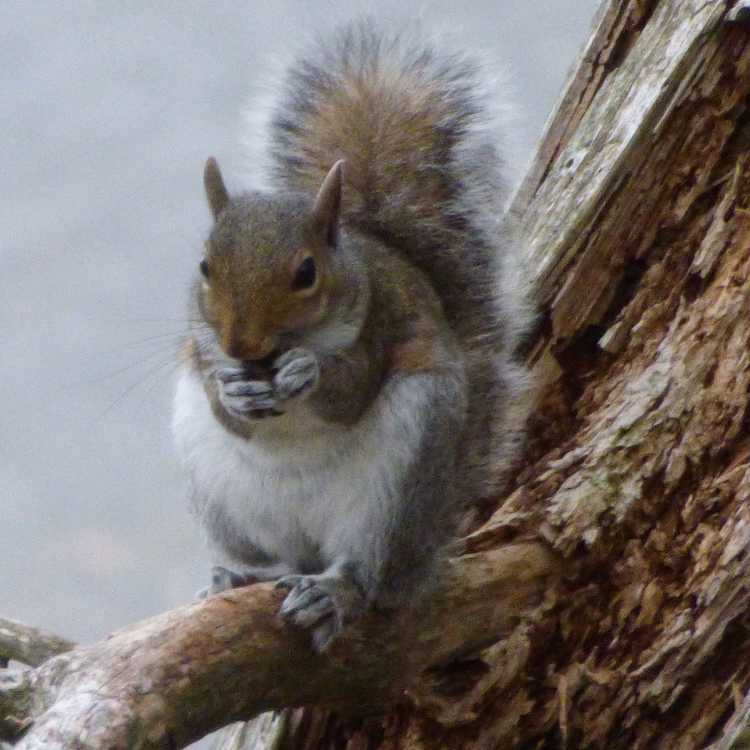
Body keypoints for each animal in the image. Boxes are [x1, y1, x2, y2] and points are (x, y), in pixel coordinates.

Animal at [171, 17, 536, 652]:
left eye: (306, 273)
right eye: (205, 266)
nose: (242, 347)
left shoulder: (379, 330)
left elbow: (350, 391)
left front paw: (308, 373)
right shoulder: (203, 347)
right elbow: (227, 412)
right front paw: (232, 390)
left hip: (401, 482)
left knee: (367, 573)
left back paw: (334, 590)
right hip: (220, 490)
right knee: (273, 555)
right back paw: (242, 573)